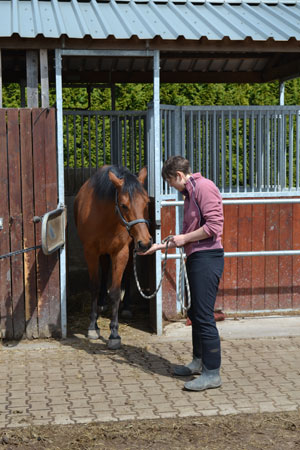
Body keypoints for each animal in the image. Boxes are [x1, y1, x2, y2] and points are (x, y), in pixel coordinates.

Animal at [74, 164, 151, 348]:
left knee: (128, 272)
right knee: (104, 271)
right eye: (123, 205)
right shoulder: (90, 251)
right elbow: (94, 286)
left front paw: (114, 334)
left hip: (131, 247)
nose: (145, 243)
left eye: (146, 202)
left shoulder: (120, 252)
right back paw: (101, 304)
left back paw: (127, 307)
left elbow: (115, 291)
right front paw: (93, 326)